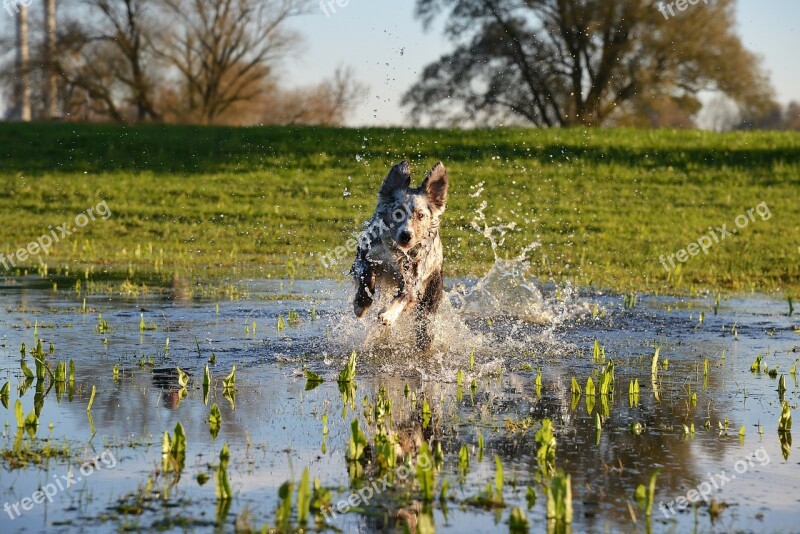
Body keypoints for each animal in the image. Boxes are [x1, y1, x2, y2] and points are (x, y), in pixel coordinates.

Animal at [352, 161, 450, 350]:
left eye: (421, 215)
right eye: (397, 213)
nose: (406, 235)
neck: (397, 253)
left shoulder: (414, 278)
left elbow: (405, 295)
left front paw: (388, 314)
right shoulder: (364, 257)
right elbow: (367, 275)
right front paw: (361, 304)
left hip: (431, 294)